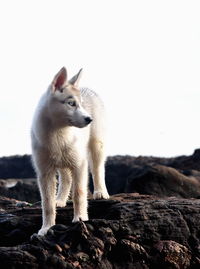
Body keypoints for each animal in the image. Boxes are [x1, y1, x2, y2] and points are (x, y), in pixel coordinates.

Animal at [31, 66, 109, 234]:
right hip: (62, 160)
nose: (89, 119)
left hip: (96, 145)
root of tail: (87, 88)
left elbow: (79, 193)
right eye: (71, 103)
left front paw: (80, 218)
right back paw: (60, 200)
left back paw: (100, 192)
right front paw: (46, 228)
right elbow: (47, 204)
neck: (58, 134)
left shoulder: (80, 164)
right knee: (66, 178)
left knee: (98, 169)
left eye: (81, 104)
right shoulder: (44, 172)